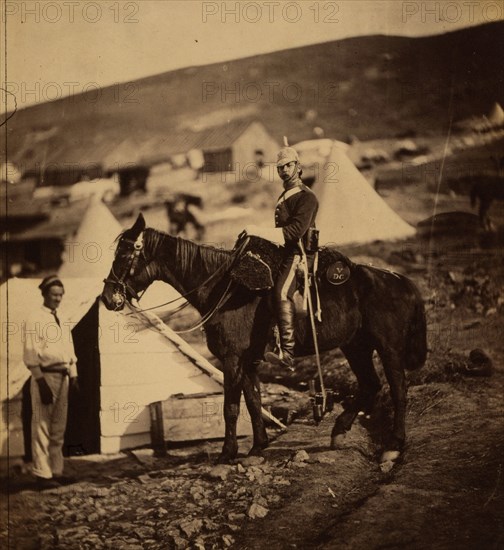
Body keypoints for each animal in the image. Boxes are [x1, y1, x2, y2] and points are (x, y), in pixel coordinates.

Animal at [102, 216, 426, 466]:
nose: (108, 298)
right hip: (356, 346)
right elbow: (254, 400)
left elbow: (231, 407)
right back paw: (339, 430)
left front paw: (227, 453)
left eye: (124, 255)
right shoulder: (249, 360)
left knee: (398, 391)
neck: (224, 288)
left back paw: (394, 445)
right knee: (370, 385)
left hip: (388, 348)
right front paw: (258, 446)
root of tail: (402, 281)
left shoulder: (232, 359)